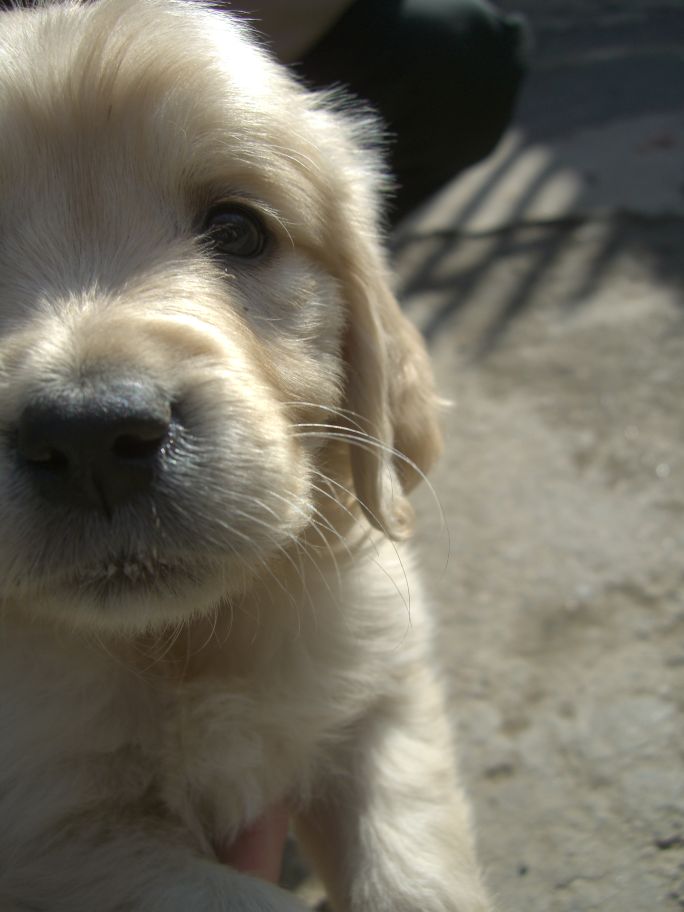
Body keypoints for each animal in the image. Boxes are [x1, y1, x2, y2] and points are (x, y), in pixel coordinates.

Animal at [0, 0, 492, 908]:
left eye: (238, 230)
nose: (91, 437)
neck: (187, 644)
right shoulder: (52, 831)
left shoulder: (382, 698)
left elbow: (416, 870)